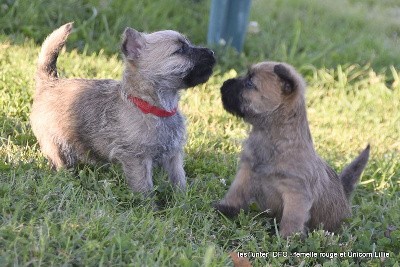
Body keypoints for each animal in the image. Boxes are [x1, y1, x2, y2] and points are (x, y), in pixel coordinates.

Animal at [30, 22, 216, 195]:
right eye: (181, 50)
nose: (212, 53)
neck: (152, 106)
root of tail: (50, 83)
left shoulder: (173, 156)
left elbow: (178, 180)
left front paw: (182, 199)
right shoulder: (137, 159)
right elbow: (144, 188)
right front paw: (148, 206)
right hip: (54, 144)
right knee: (60, 163)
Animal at [214, 61, 370, 238]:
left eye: (249, 83)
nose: (224, 84)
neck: (272, 138)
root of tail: (344, 193)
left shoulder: (296, 192)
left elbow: (292, 217)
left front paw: (288, 237)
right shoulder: (246, 171)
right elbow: (236, 191)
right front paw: (226, 208)